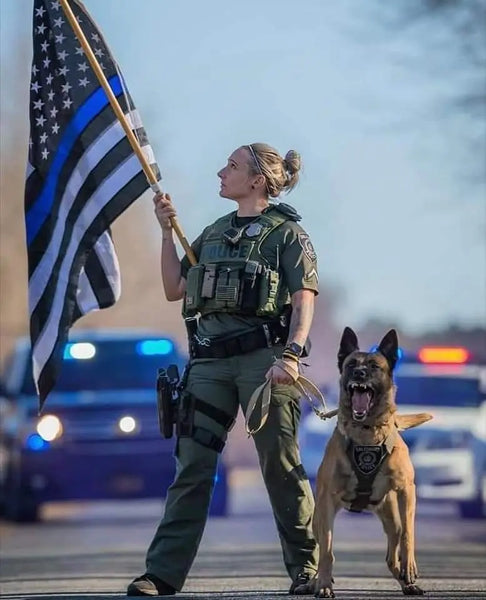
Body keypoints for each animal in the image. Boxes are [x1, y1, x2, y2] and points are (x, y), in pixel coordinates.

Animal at [296, 330, 432, 596]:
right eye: (350, 365)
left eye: (374, 366)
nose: (359, 373)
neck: (367, 432)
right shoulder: (327, 501)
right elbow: (327, 551)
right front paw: (324, 585)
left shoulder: (406, 491)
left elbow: (409, 534)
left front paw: (410, 567)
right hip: (320, 517)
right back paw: (314, 581)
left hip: (392, 518)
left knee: (393, 552)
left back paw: (407, 581)